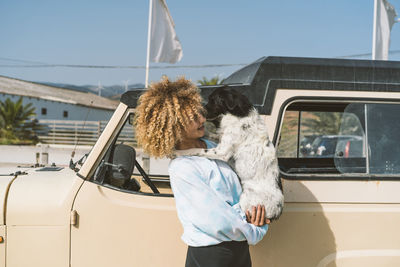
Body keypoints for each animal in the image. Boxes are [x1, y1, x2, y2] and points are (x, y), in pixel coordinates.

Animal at [177, 87, 282, 221]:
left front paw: (176, 152)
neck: (239, 114)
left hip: (247, 202)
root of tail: (277, 212)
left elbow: (195, 150)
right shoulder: (221, 138)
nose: (198, 112)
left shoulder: (222, 152)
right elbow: (210, 134)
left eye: (212, 100)